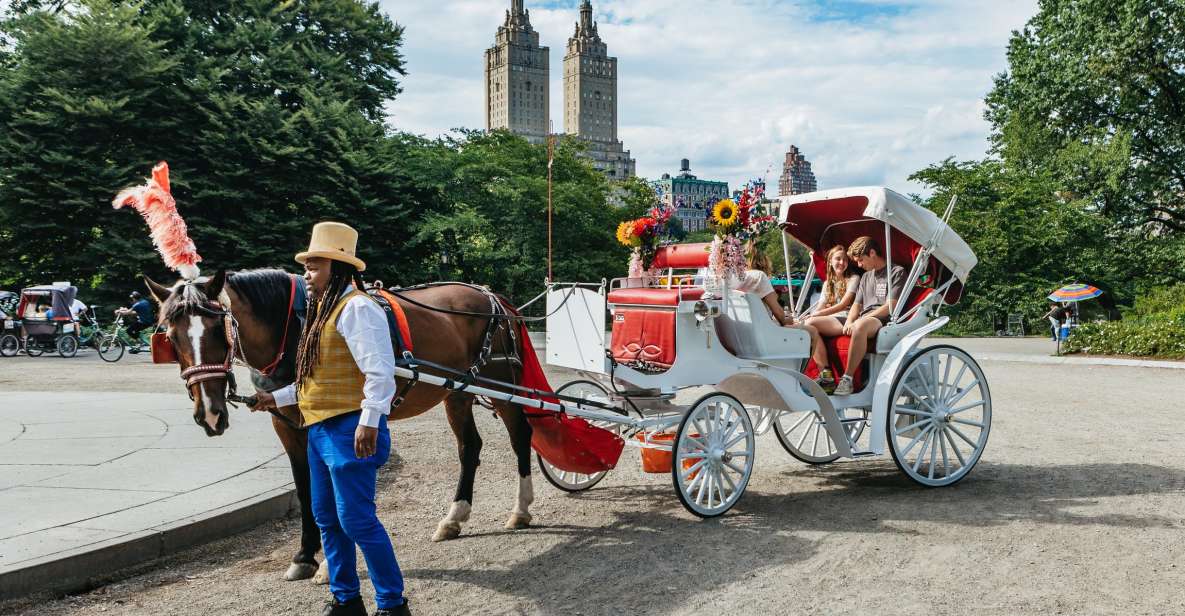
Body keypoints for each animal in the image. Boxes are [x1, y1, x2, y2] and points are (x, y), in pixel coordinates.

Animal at [143, 267, 537, 582]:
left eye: (217, 330)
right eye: (171, 337)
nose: (210, 414)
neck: (296, 327)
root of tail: (491, 296)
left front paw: (331, 564)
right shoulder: (288, 427)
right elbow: (307, 489)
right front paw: (306, 556)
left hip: (503, 386)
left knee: (521, 437)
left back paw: (520, 510)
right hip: (457, 392)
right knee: (469, 447)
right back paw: (454, 516)